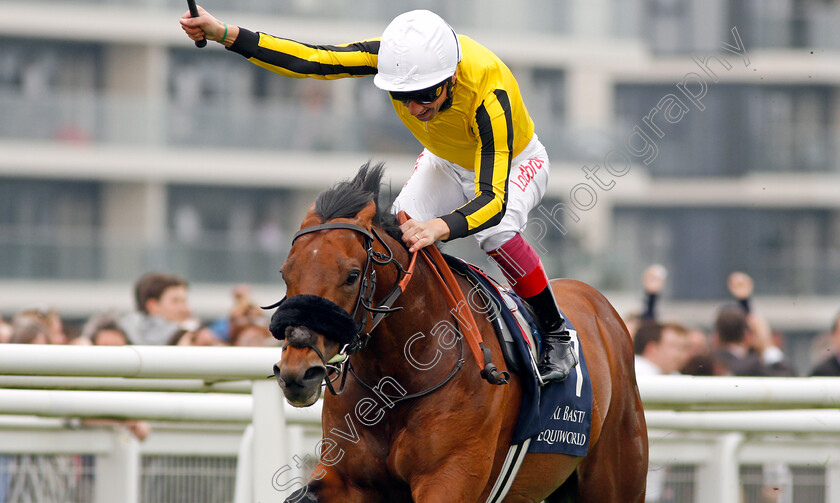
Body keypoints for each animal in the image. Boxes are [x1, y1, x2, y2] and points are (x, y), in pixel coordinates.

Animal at [270, 163, 648, 502]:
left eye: (351, 276)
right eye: (285, 272)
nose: (298, 373)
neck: (397, 382)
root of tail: (601, 306)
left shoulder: (449, 478)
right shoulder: (347, 479)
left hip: (615, 477)